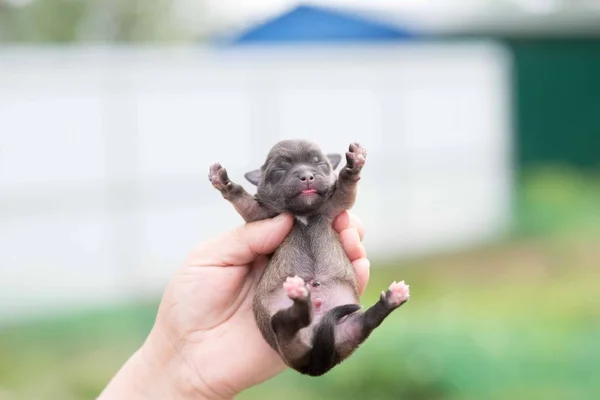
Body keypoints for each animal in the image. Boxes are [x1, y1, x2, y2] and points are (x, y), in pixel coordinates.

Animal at [206, 139, 408, 376]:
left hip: (347, 330)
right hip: (285, 338)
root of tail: (311, 363)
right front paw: (224, 182)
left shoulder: (335, 204)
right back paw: (301, 298)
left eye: (319, 163)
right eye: (279, 170)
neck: (305, 214)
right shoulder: (261, 215)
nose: (306, 176)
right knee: (285, 324)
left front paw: (354, 164)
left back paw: (390, 300)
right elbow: (245, 202)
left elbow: (346, 187)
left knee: (366, 322)